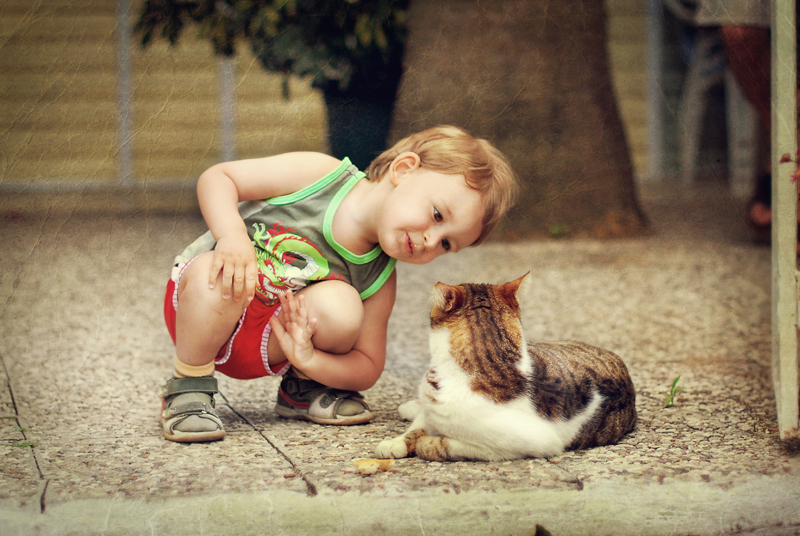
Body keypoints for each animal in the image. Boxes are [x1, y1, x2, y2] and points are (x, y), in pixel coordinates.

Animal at [376, 272, 636, 460]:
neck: (491, 364)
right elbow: (419, 425)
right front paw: (396, 442)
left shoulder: (533, 442)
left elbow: (453, 445)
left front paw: (426, 444)